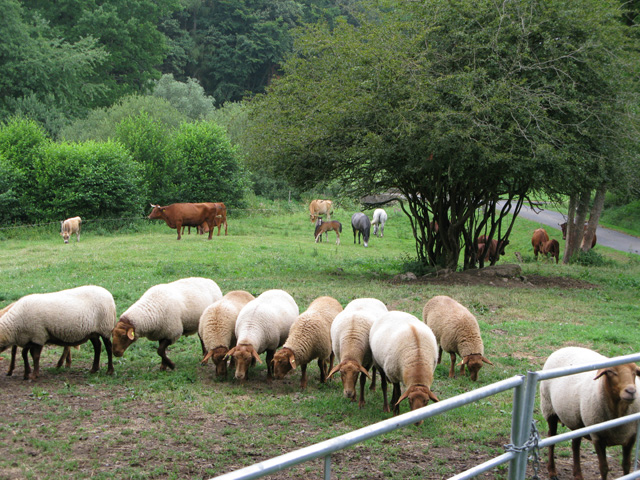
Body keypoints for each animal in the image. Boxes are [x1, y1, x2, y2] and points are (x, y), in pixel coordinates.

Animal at [540, 346, 640, 480]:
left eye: (634, 372)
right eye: (611, 371)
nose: (631, 391)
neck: (618, 413)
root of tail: (565, 348)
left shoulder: (630, 438)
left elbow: (626, 465)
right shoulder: (597, 437)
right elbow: (603, 468)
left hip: (575, 419)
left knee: (575, 444)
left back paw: (578, 475)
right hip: (549, 408)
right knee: (551, 438)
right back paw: (552, 472)